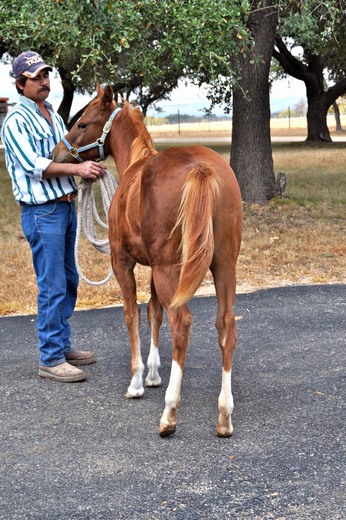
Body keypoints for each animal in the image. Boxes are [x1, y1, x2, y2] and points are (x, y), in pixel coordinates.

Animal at [54, 86, 243, 438]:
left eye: (83, 123)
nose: (58, 153)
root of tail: (201, 169)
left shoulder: (123, 262)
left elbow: (133, 314)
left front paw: (137, 381)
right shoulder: (156, 268)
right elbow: (154, 311)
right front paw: (154, 373)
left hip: (171, 270)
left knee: (181, 323)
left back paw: (169, 414)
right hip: (224, 267)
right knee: (225, 325)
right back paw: (224, 416)